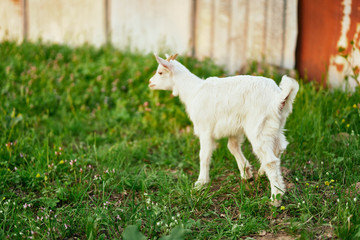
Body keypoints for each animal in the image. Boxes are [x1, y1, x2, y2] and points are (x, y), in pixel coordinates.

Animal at [148, 54, 300, 206]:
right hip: (275, 125)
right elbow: (232, 147)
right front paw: (246, 173)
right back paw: (264, 174)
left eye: (160, 72)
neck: (193, 91)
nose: (150, 83)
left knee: (270, 160)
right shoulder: (234, 129)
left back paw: (276, 198)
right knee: (278, 149)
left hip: (258, 127)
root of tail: (278, 99)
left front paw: (201, 183)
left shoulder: (205, 129)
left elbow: (204, 155)